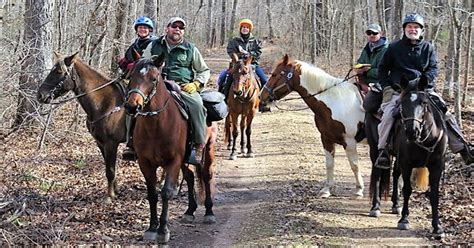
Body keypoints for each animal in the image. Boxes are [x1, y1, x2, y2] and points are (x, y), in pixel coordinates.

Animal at [37, 51, 127, 203]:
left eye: (59, 71)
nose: (40, 94)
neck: (105, 103)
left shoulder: (111, 143)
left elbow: (110, 171)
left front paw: (109, 196)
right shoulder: (101, 143)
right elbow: (109, 168)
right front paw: (116, 191)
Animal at [123, 54, 218, 244]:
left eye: (153, 79)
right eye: (131, 77)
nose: (132, 106)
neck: (156, 125)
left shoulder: (173, 161)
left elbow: (166, 192)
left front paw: (163, 230)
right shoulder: (146, 163)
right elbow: (152, 194)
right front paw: (152, 228)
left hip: (208, 149)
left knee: (206, 175)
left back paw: (209, 212)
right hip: (185, 159)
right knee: (189, 176)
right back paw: (190, 211)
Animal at [260, 54, 366, 198]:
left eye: (275, 74)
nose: (261, 96)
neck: (335, 102)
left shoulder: (349, 141)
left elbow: (354, 165)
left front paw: (359, 189)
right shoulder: (326, 139)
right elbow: (329, 164)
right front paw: (326, 189)